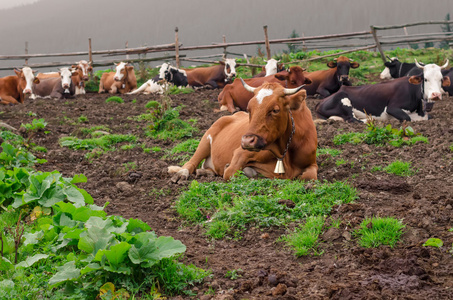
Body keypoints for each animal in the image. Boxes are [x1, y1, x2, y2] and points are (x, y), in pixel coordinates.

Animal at [167, 81, 318, 182]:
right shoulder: (240, 152)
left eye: (275, 110)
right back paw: (182, 174)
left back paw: (205, 173)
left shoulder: (312, 163)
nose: (247, 141)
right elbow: (230, 172)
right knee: (191, 163)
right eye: (249, 109)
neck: (284, 153)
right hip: (205, 140)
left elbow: (309, 177)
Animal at [316, 59, 450, 122]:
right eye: (425, 79)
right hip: (344, 100)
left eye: (441, 79)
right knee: (352, 119)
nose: (436, 94)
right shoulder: (392, 108)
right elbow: (406, 118)